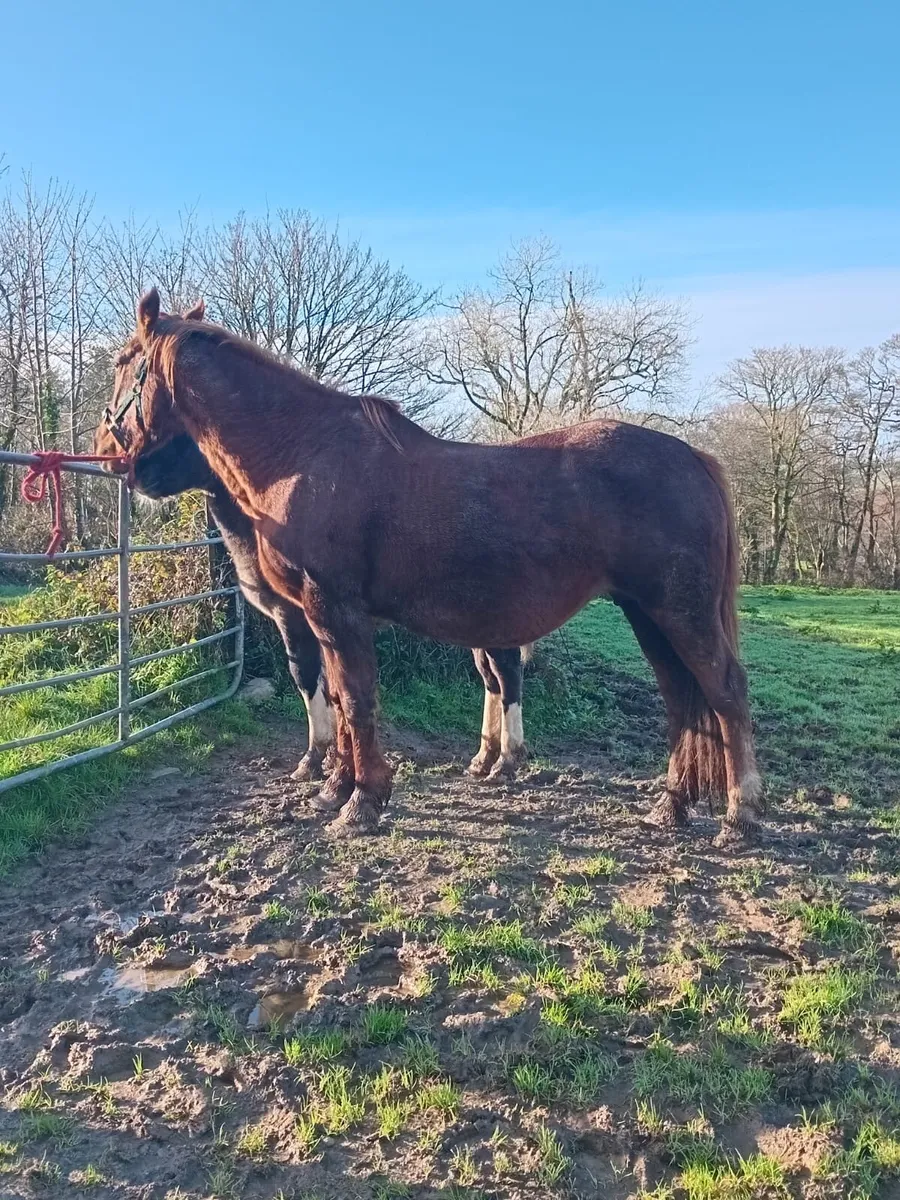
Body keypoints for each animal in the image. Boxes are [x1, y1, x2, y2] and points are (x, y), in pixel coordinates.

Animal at [95, 288, 763, 846]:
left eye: (125, 362)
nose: (106, 452)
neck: (301, 455)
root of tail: (695, 458)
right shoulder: (322, 619)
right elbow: (339, 698)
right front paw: (335, 786)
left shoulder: (332, 613)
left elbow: (355, 699)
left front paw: (361, 801)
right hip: (647, 613)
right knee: (681, 700)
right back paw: (671, 806)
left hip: (680, 613)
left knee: (724, 693)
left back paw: (740, 816)